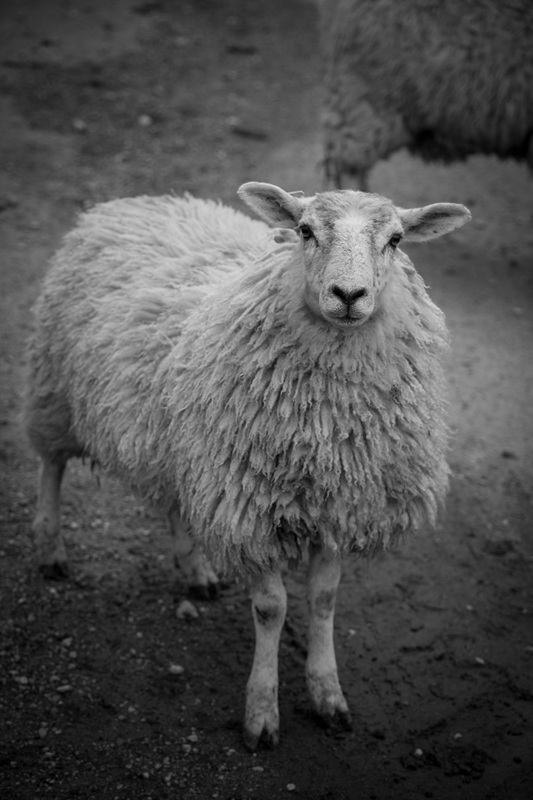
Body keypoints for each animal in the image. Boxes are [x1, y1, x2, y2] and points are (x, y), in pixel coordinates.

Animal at [24, 182, 471, 750]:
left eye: (395, 239)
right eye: (304, 231)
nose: (349, 296)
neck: (327, 429)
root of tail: (134, 201)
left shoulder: (339, 504)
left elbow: (324, 600)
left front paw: (328, 694)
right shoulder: (250, 508)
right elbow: (272, 609)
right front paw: (261, 712)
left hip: (185, 444)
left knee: (178, 501)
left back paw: (195, 571)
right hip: (55, 387)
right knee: (51, 466)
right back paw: (51, 547)